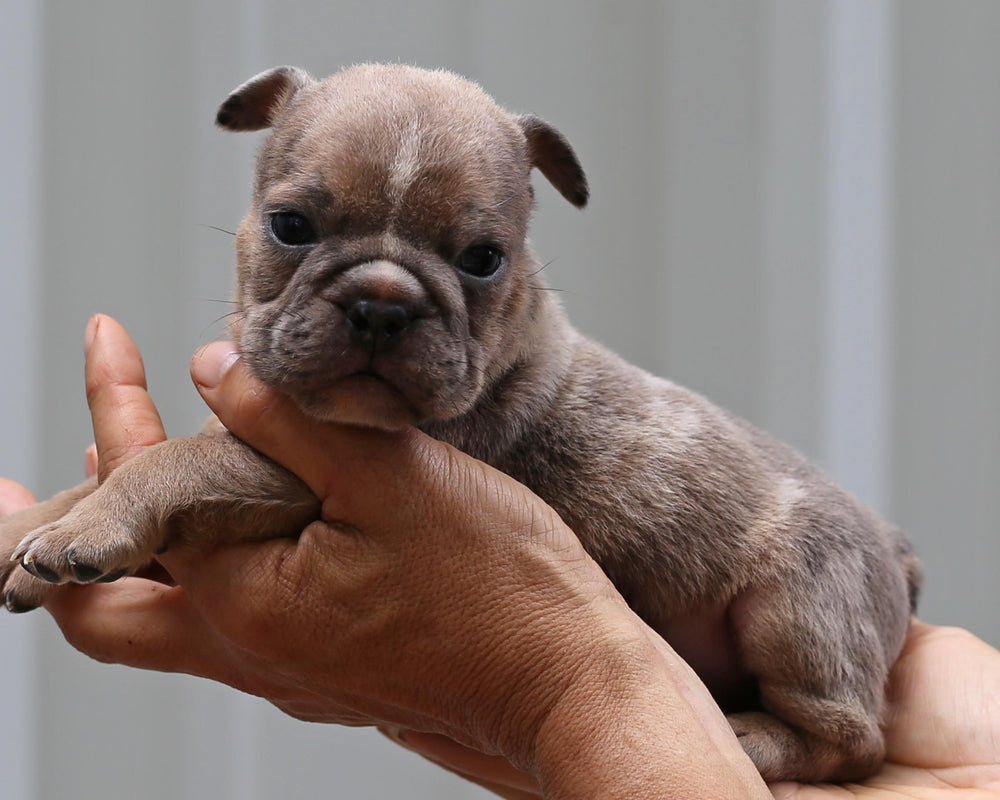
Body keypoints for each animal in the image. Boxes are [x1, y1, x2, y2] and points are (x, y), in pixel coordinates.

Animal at [1, 65, 920, 784]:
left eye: (483, 259)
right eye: (290, 226)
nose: (382, 303)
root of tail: (895, 550)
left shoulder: (288, 470)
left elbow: (172, 462)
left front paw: (91, 524)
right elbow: (101, 476)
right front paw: (35, 524)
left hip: (798, 610)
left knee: (850, 740)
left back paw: (750, 739)